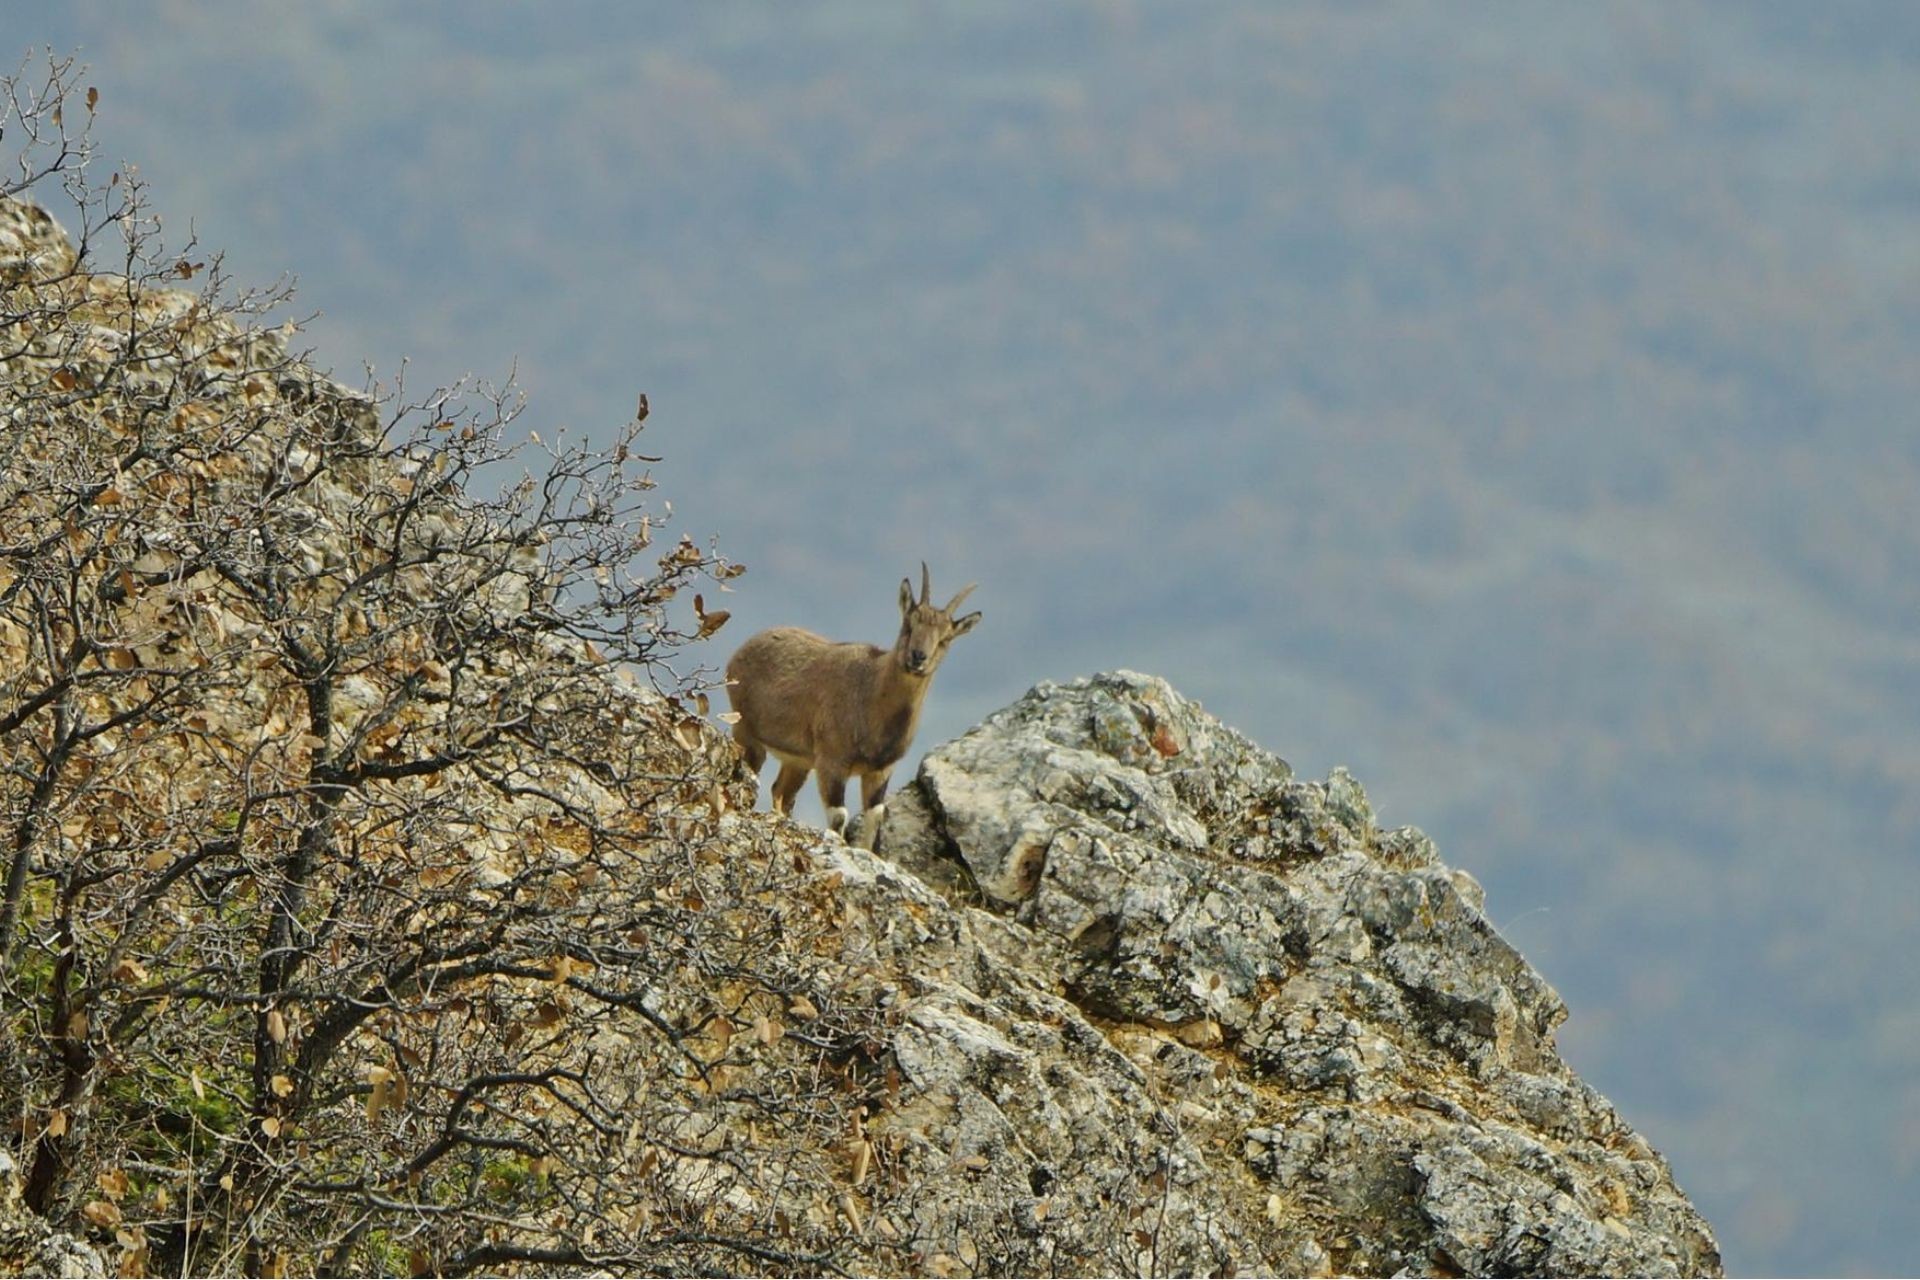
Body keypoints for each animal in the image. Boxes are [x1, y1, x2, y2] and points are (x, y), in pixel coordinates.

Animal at [725, 564, 983, 836]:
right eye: (909, 625)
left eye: (945, 639)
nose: (918, 657)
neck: (872, 695)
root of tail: (740, 652)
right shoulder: (831, 763)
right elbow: (839, 816)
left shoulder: (879, 772)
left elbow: (875, 818)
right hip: (746, 733)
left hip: (799, 760)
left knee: (782, 792)